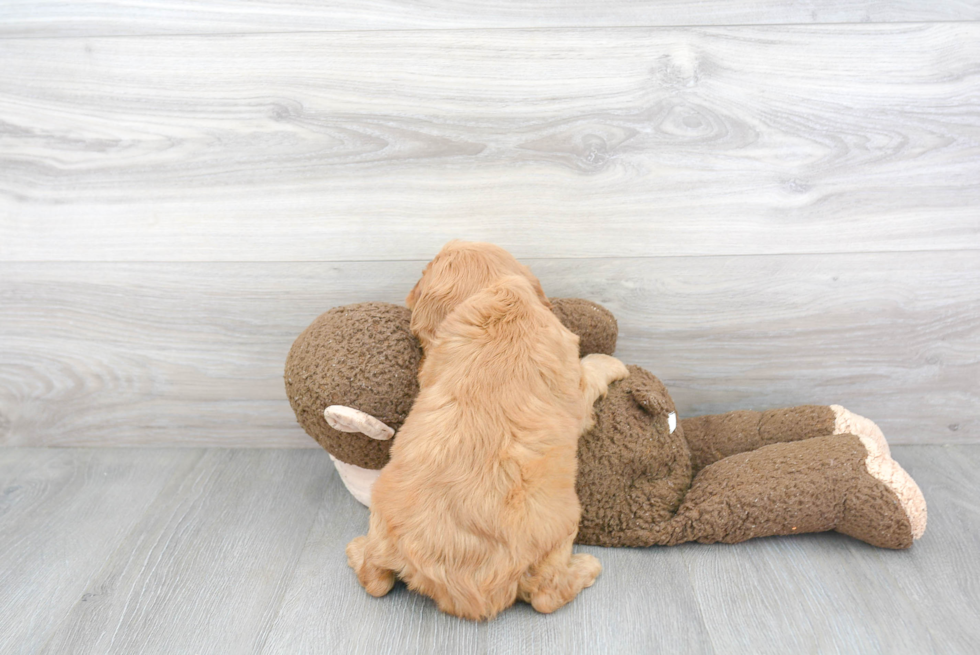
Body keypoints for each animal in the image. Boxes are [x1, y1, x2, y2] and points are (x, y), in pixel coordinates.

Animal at [348, 241, 632, 620]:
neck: (498, 297)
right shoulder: (575, 384)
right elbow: (592, 369)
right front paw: (611, 363)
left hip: (382, 519)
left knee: (375, 578)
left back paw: (356, 549)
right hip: (563, 525)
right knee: (546, 595)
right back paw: (587, 567)